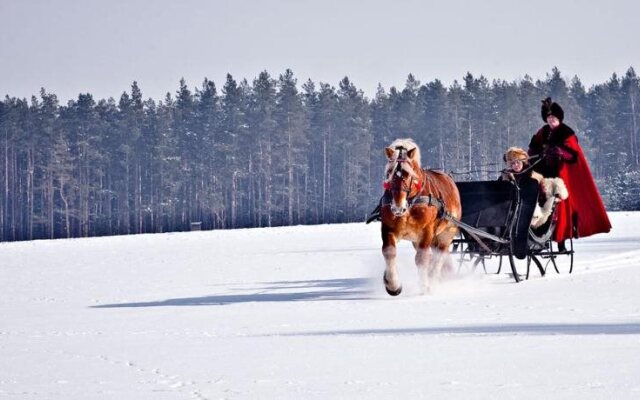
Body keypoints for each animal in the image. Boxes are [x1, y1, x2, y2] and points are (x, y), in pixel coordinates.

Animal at [380, 139, 460, 296]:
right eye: (389, 172)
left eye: (407, 173)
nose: (398, 207)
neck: (411, 203)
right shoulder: (388, 228)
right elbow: (389, 252)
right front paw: (392, 284)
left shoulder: (427, 231)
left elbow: (422, 258)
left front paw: (424, 286)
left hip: (447, 234)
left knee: (439, 256)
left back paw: (433, 280)